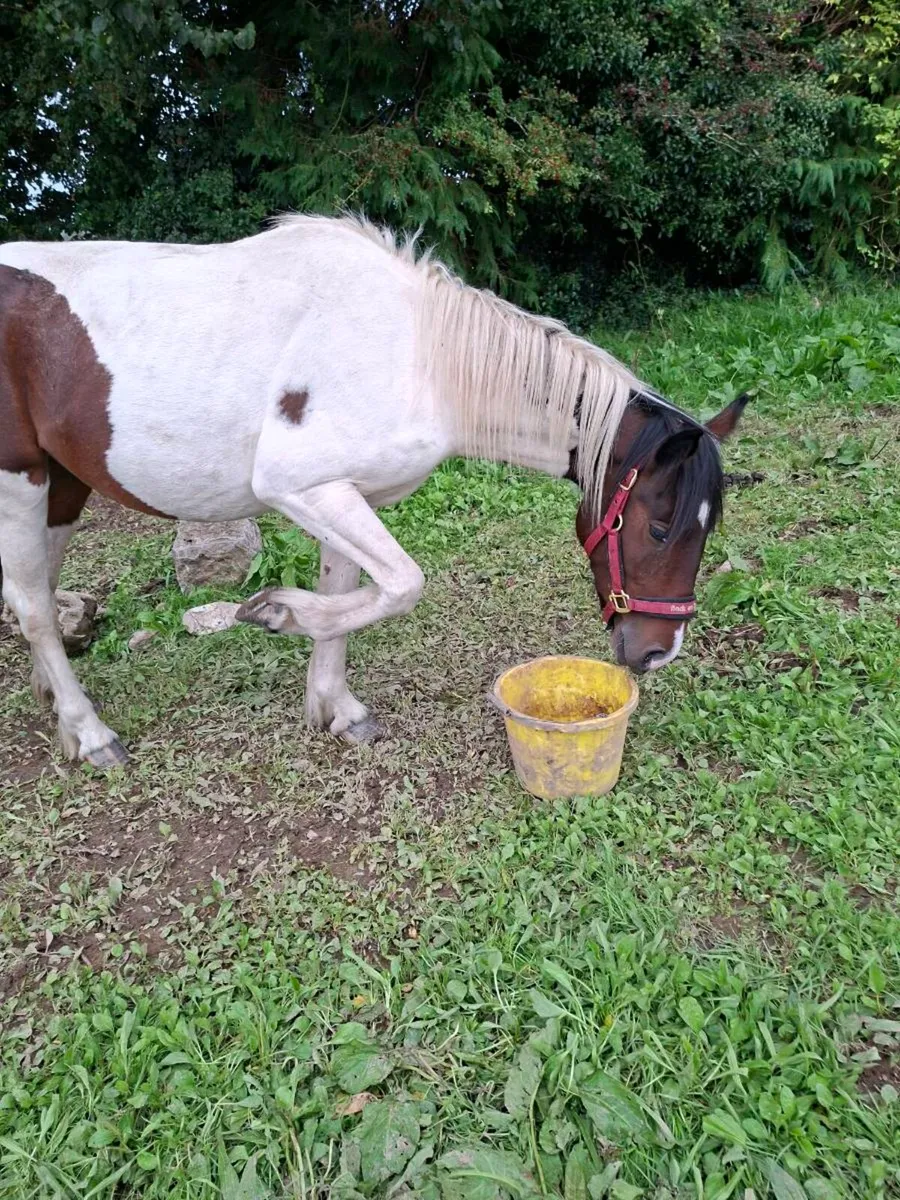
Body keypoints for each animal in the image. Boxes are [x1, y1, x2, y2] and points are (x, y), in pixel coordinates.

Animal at [0, 214, 747, 769]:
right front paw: (277, 614)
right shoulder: (303, 487)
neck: (424, 357)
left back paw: (53, 696)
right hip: (21, 478)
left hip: (65, 480)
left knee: (41, 589)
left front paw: (335, 705)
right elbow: (402, 585)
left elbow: (351, 591)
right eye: (659, 527)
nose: (658, 651)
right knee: (32, 605)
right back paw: (90, 732)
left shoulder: (342, 493)